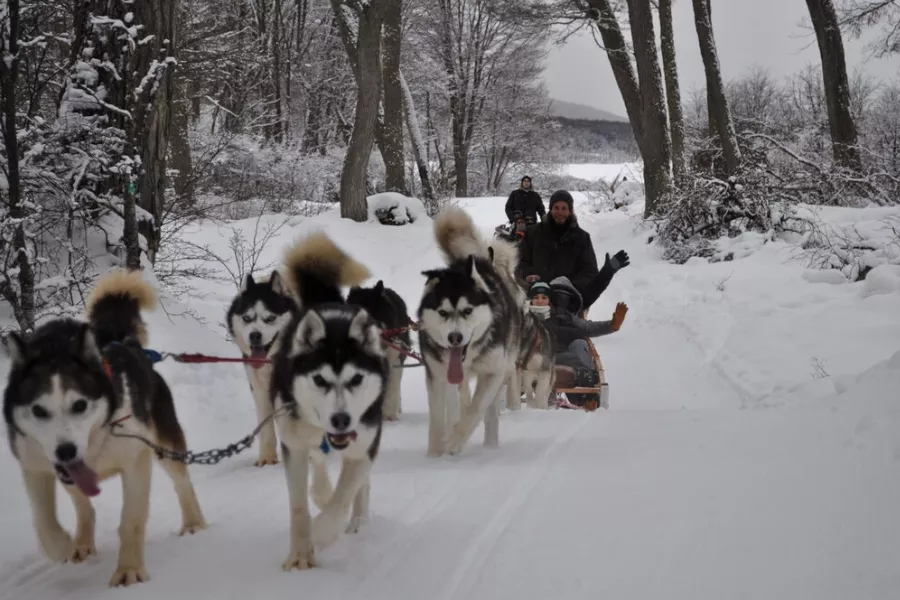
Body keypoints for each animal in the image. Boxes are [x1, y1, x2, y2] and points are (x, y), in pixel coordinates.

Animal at [2, 270, 206, 588]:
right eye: (38, 410)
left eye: (80, 405)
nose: (66, 451)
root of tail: (122, 342)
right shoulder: (34, 466)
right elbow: (43, 520)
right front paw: (61, 545)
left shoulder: (136, 460)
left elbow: (131, 520)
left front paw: (129, 569)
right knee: (84, 507)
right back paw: (82, 542)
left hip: (164, 446)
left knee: (182, 482)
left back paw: (193, 522)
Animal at [227, 270, 298, 466]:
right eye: (247, 318)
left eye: (270, 318)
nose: (255, 335)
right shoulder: (260, 390)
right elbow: (266, 426)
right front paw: (267, 458)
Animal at [272, 231, 388, 572]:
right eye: (320, 380)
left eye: (357, 379)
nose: (340, 420)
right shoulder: (293, 446)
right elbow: (299, 507)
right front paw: (300, 553)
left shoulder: (364, 445)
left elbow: (343, 497)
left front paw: (322, 532)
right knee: (319, 460)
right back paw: (322, 490)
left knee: (358, 485)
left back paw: (357, 518)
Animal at [414, 206, 520, 454]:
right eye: (442, 313)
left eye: (468, 310)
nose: (455, 337)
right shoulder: (437, 376)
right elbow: (439, 418)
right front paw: (435, 452)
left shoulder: (493, 373)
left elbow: (475, 410)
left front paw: (455, 441)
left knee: (488, 413)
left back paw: (490, 444)